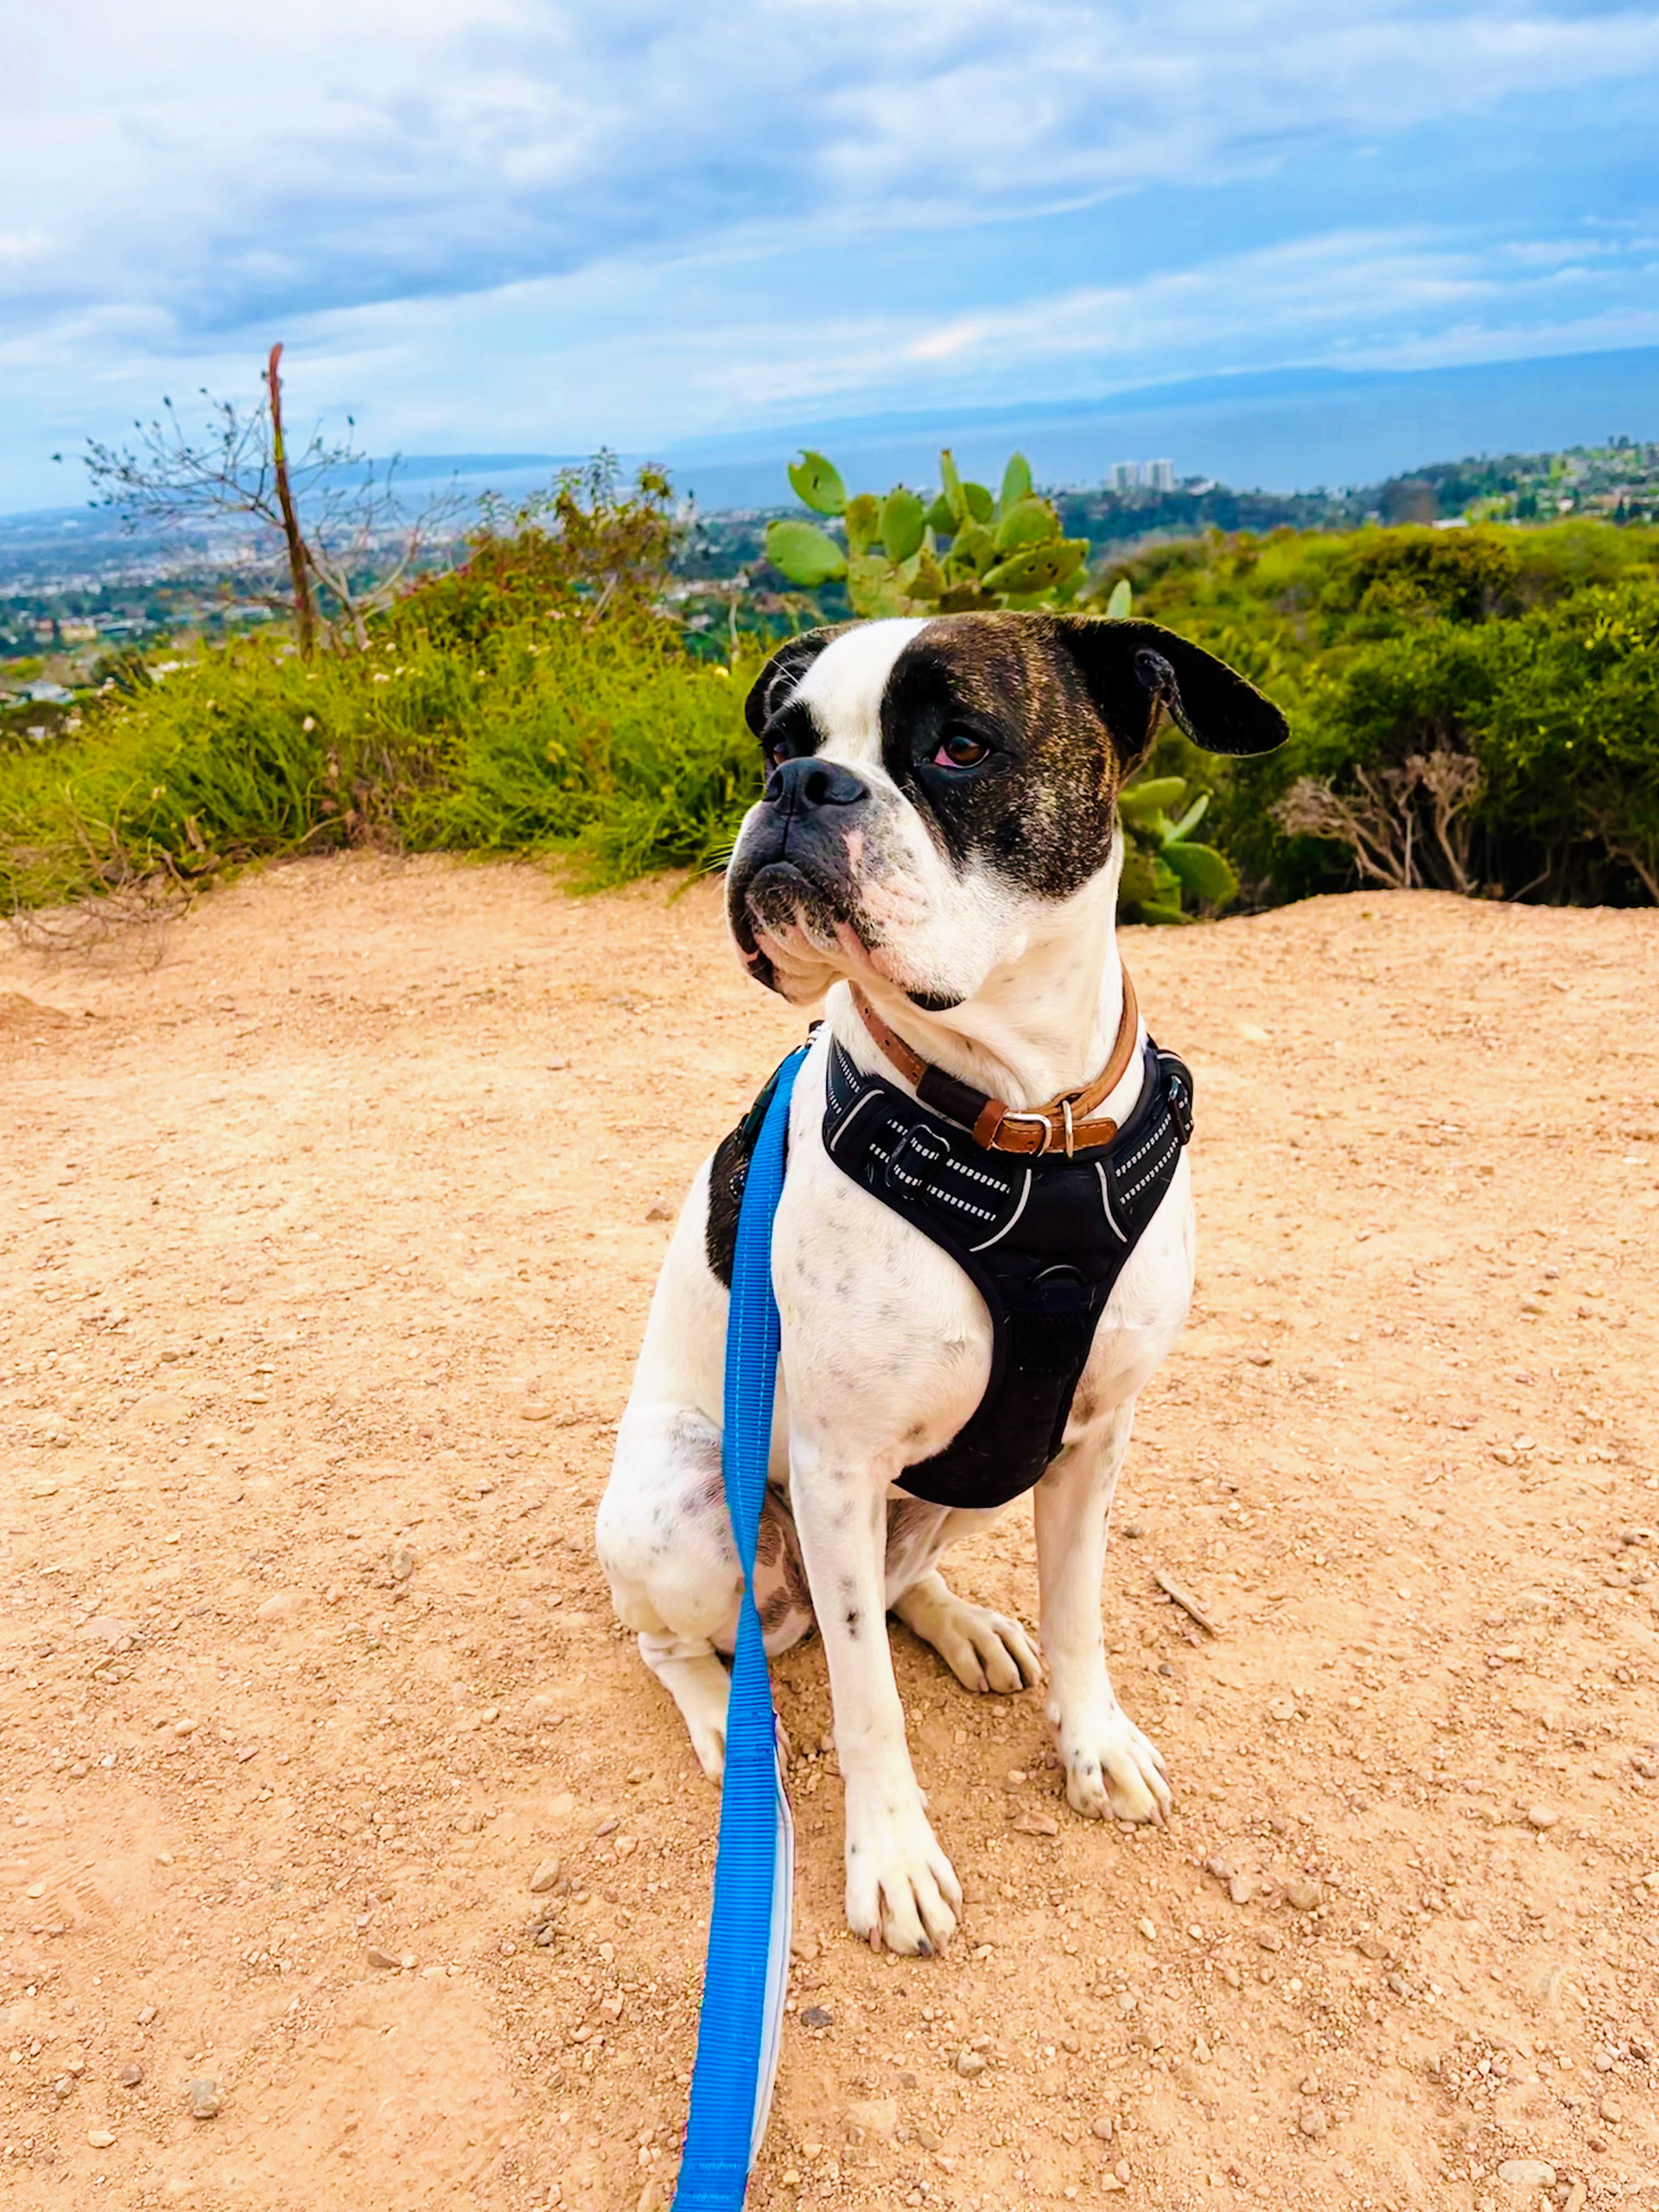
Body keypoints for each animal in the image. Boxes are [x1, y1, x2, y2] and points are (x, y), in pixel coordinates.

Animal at [597, 611, 1287, 1954]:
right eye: (782, 740)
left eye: (960, 746)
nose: (800, 788)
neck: (1023, 1126)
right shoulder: (837, 1463)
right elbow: (867, 1701)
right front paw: (894, 1857)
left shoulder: (1093, 1440)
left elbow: (1079, 1613)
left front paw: (1093, 1742)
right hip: (692, 1514)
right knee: (677, 1644)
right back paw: (721, 1720)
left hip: (965, 1482)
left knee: (901, 1581)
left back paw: (965, 1625)